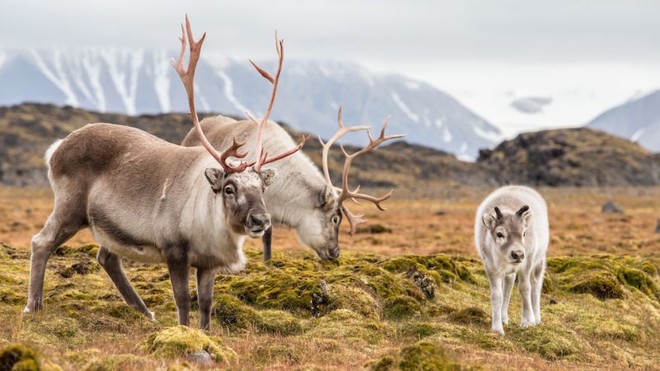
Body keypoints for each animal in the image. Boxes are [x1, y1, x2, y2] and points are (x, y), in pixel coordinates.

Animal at [472, 187, 548, 336]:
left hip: (539, 261)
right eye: (500, 234)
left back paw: (536, 317)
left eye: (524, 233)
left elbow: (525, 289)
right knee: (508, 286)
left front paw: (527, 321)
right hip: (509, 272)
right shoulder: (491, 268)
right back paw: (503, 317)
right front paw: (497, 328)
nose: (517, 254)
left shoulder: (526, 265)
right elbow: (497, 295)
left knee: (535, 287)